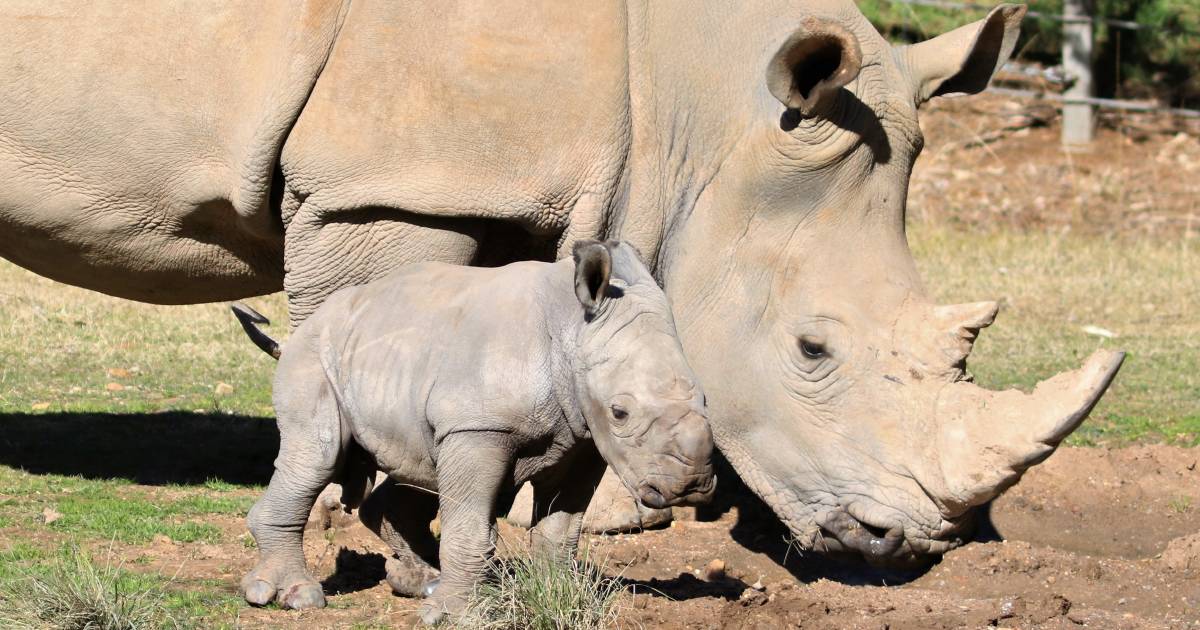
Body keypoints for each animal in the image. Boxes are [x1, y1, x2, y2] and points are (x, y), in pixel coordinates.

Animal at [231, 238, 710, 619]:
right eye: (620, 412)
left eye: (706, 400)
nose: (692, 484)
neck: (572, 329)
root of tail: (297, 333)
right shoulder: (478, 428)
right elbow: (470, 525)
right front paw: (454, 616)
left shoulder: (581, 439)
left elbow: (560, 527)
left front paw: (562, 596)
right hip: (315, 356)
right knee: (318, 456)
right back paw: (294, 597)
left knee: (412, 466)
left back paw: (422, 582)